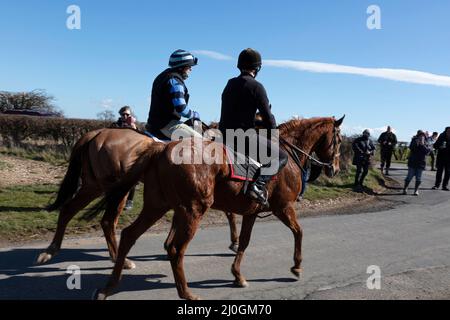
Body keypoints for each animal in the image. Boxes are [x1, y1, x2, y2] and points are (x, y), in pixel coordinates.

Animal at [92, 117, 344, 300]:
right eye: (339, 140)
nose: (335, 169)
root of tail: (161, 149)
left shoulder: (252, 213)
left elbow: (244, 242)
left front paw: (238, 275)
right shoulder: (284, 207)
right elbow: (299, 232)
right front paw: (297, 267)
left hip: (157, 205)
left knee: (129, 235)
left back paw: (108, 287)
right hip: (192, 210)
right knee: (175, 249)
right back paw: (186, 293)